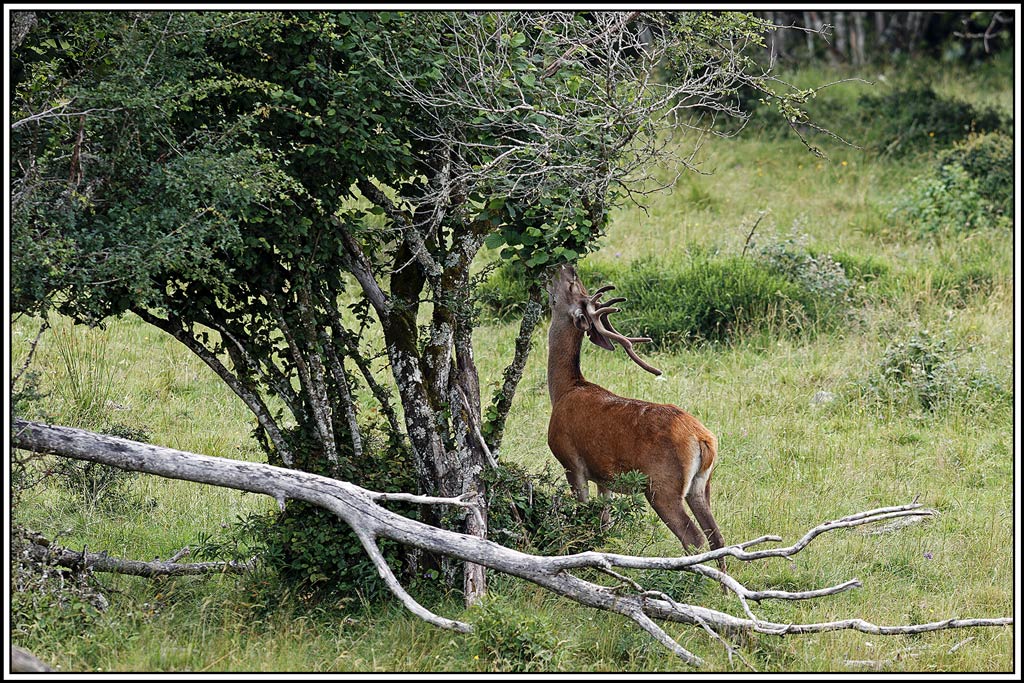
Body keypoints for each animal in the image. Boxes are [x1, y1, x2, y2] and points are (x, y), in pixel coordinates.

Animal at [545, 265, 726, 569]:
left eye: (571, 287)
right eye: (579, 286)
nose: (565, 266)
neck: (563, 390)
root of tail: (702, 439)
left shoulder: (571, 461)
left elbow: (583, 514)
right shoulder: (603, 476)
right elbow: (603, 523)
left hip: (661, 485)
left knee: (694, 537)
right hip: (701, 484)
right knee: (717, 537)